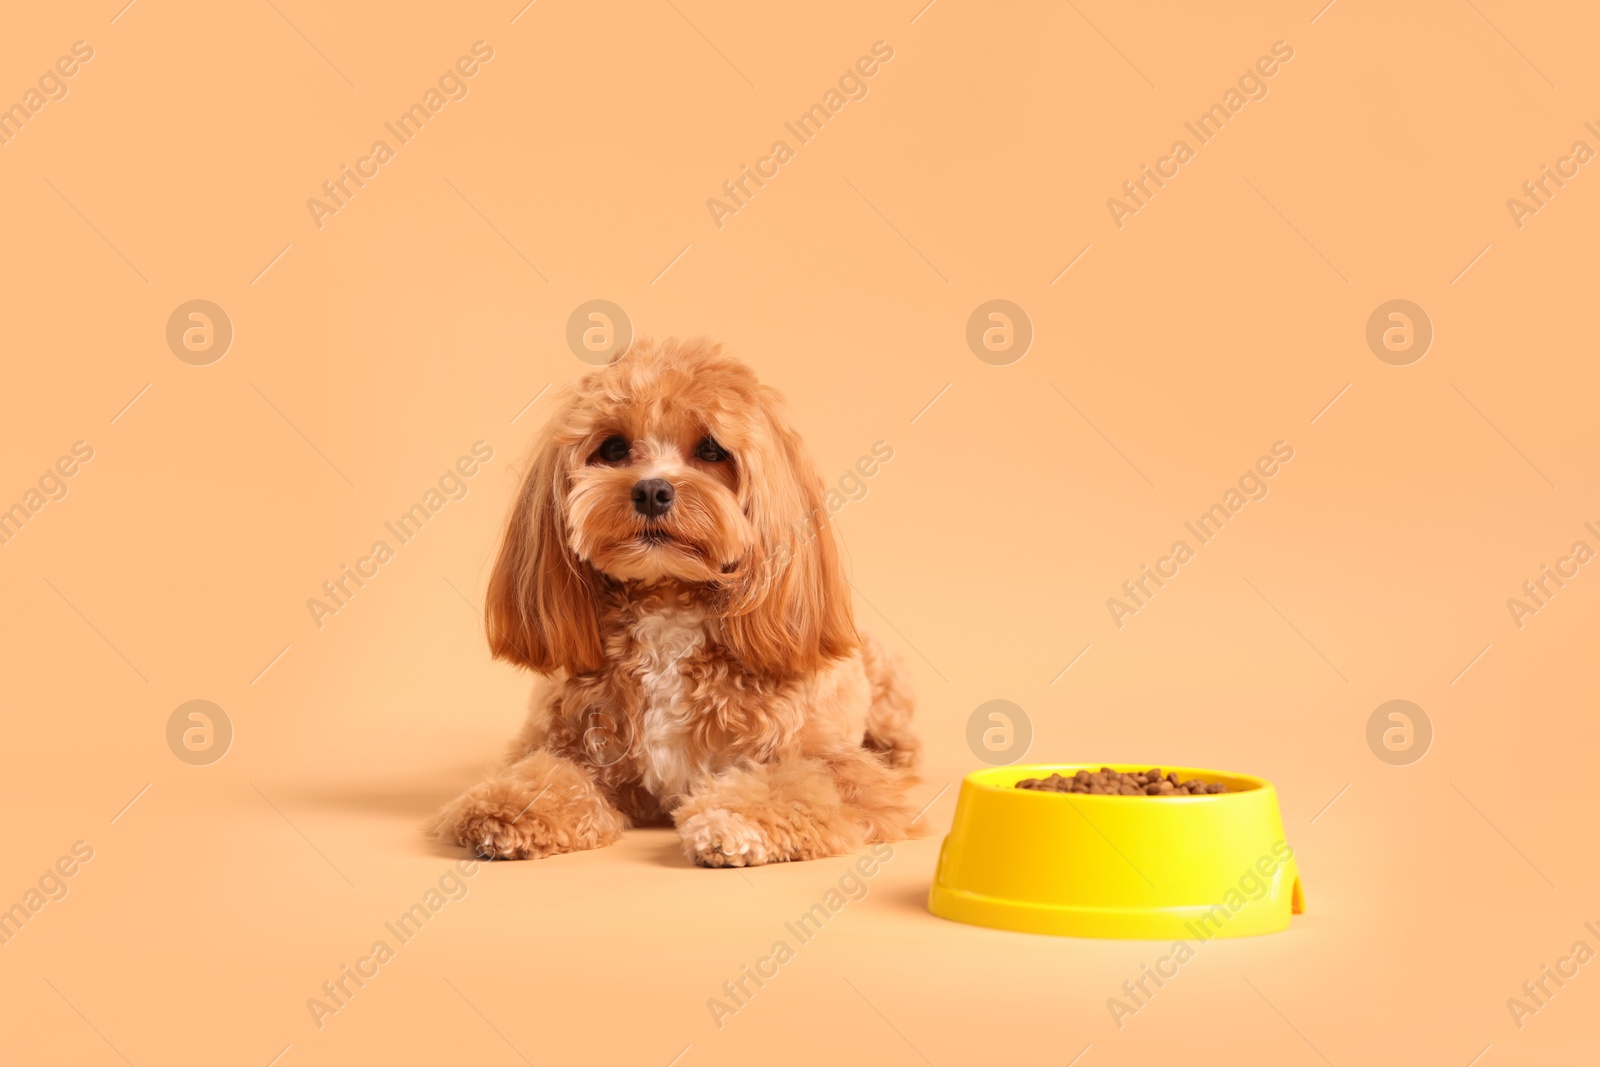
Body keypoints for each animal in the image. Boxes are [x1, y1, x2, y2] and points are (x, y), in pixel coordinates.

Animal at [432, 342, 921, 870]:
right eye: (613, 449)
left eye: (711, 450)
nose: (651, 489)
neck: (667, 606)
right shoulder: (566, 743)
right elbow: (545, 775)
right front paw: (504, 807)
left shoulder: (840, 769)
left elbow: (800, 785)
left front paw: (731, 820)